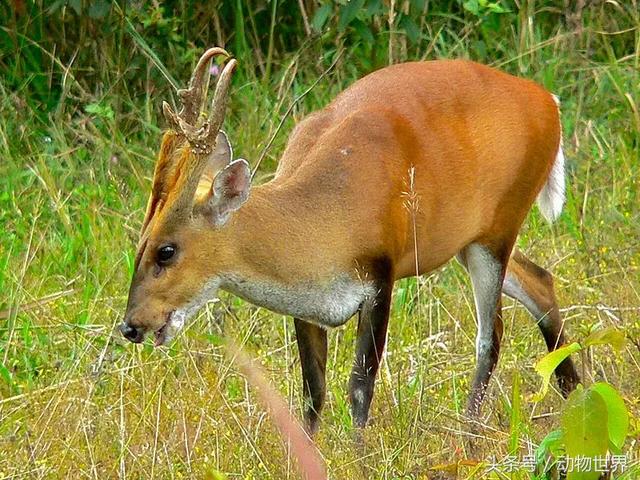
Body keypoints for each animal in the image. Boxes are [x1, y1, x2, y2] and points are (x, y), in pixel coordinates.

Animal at [120, 47, 580, 434]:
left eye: (166, 250)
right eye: (138, 246)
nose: (130, 326)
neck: (325, 220)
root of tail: (549, 101)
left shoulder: (380, 275)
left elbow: (360, 385)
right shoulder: (305, 304)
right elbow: (313, 391)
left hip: (500, 225)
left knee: (491, 335)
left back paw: (470, 434)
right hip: (470, 239)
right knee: (541, 280)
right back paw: (573, 393)